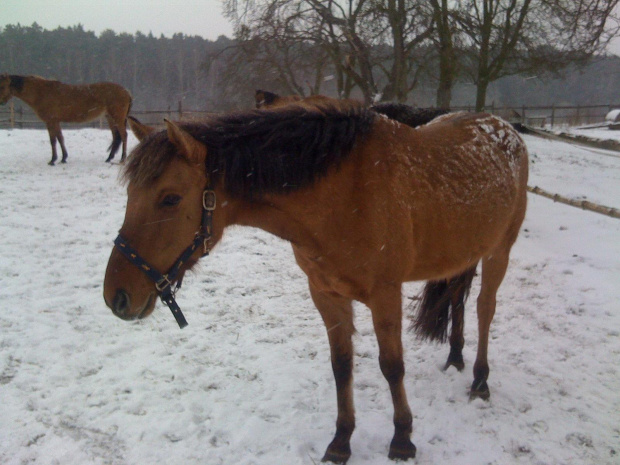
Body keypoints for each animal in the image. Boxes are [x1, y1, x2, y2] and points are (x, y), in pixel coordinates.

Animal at [103, 99, 528, 462]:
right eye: (129, 194)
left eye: (170, 198)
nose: (116, 297)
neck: (345, 196)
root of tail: (506, 128)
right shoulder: (326, 294)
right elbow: (341, 365)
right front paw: (341, 441)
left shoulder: (385, 295)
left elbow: (392, 366)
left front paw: (403, 439)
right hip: (464, 252)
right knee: (457, 297)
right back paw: (455, 356)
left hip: (499, 251)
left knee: (484, 308)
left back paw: (480, 381)